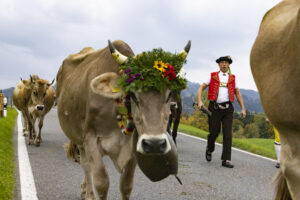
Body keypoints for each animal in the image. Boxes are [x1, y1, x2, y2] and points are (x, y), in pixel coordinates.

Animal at [56, 39, 190, 199]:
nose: (155, 144)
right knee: (86, 165)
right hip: (79, 138)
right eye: (132, 94)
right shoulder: (90, 138)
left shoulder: (133, 147)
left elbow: (126, 186)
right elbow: (101, 182)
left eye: (170, 94)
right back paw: (89, 194)